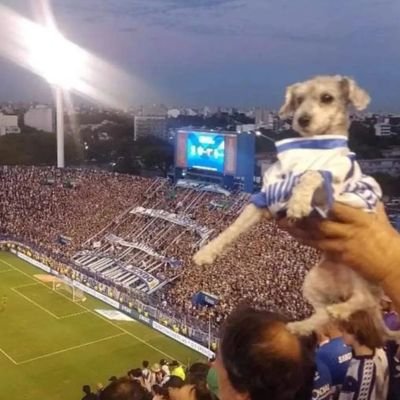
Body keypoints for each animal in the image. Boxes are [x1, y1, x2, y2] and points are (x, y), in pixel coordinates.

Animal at [194, 76, 396, 338]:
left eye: (327, 98)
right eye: (298, 99)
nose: (302, 119)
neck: (312, 147)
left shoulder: (333, 192)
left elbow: (313, 173)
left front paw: (299, 201)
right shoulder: (266, 198)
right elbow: (233, 227)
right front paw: (207, 251)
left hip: (363, 269)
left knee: (365, 299)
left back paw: (341, 310)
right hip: (314, 280)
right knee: (323, 312)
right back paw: (301, 326)